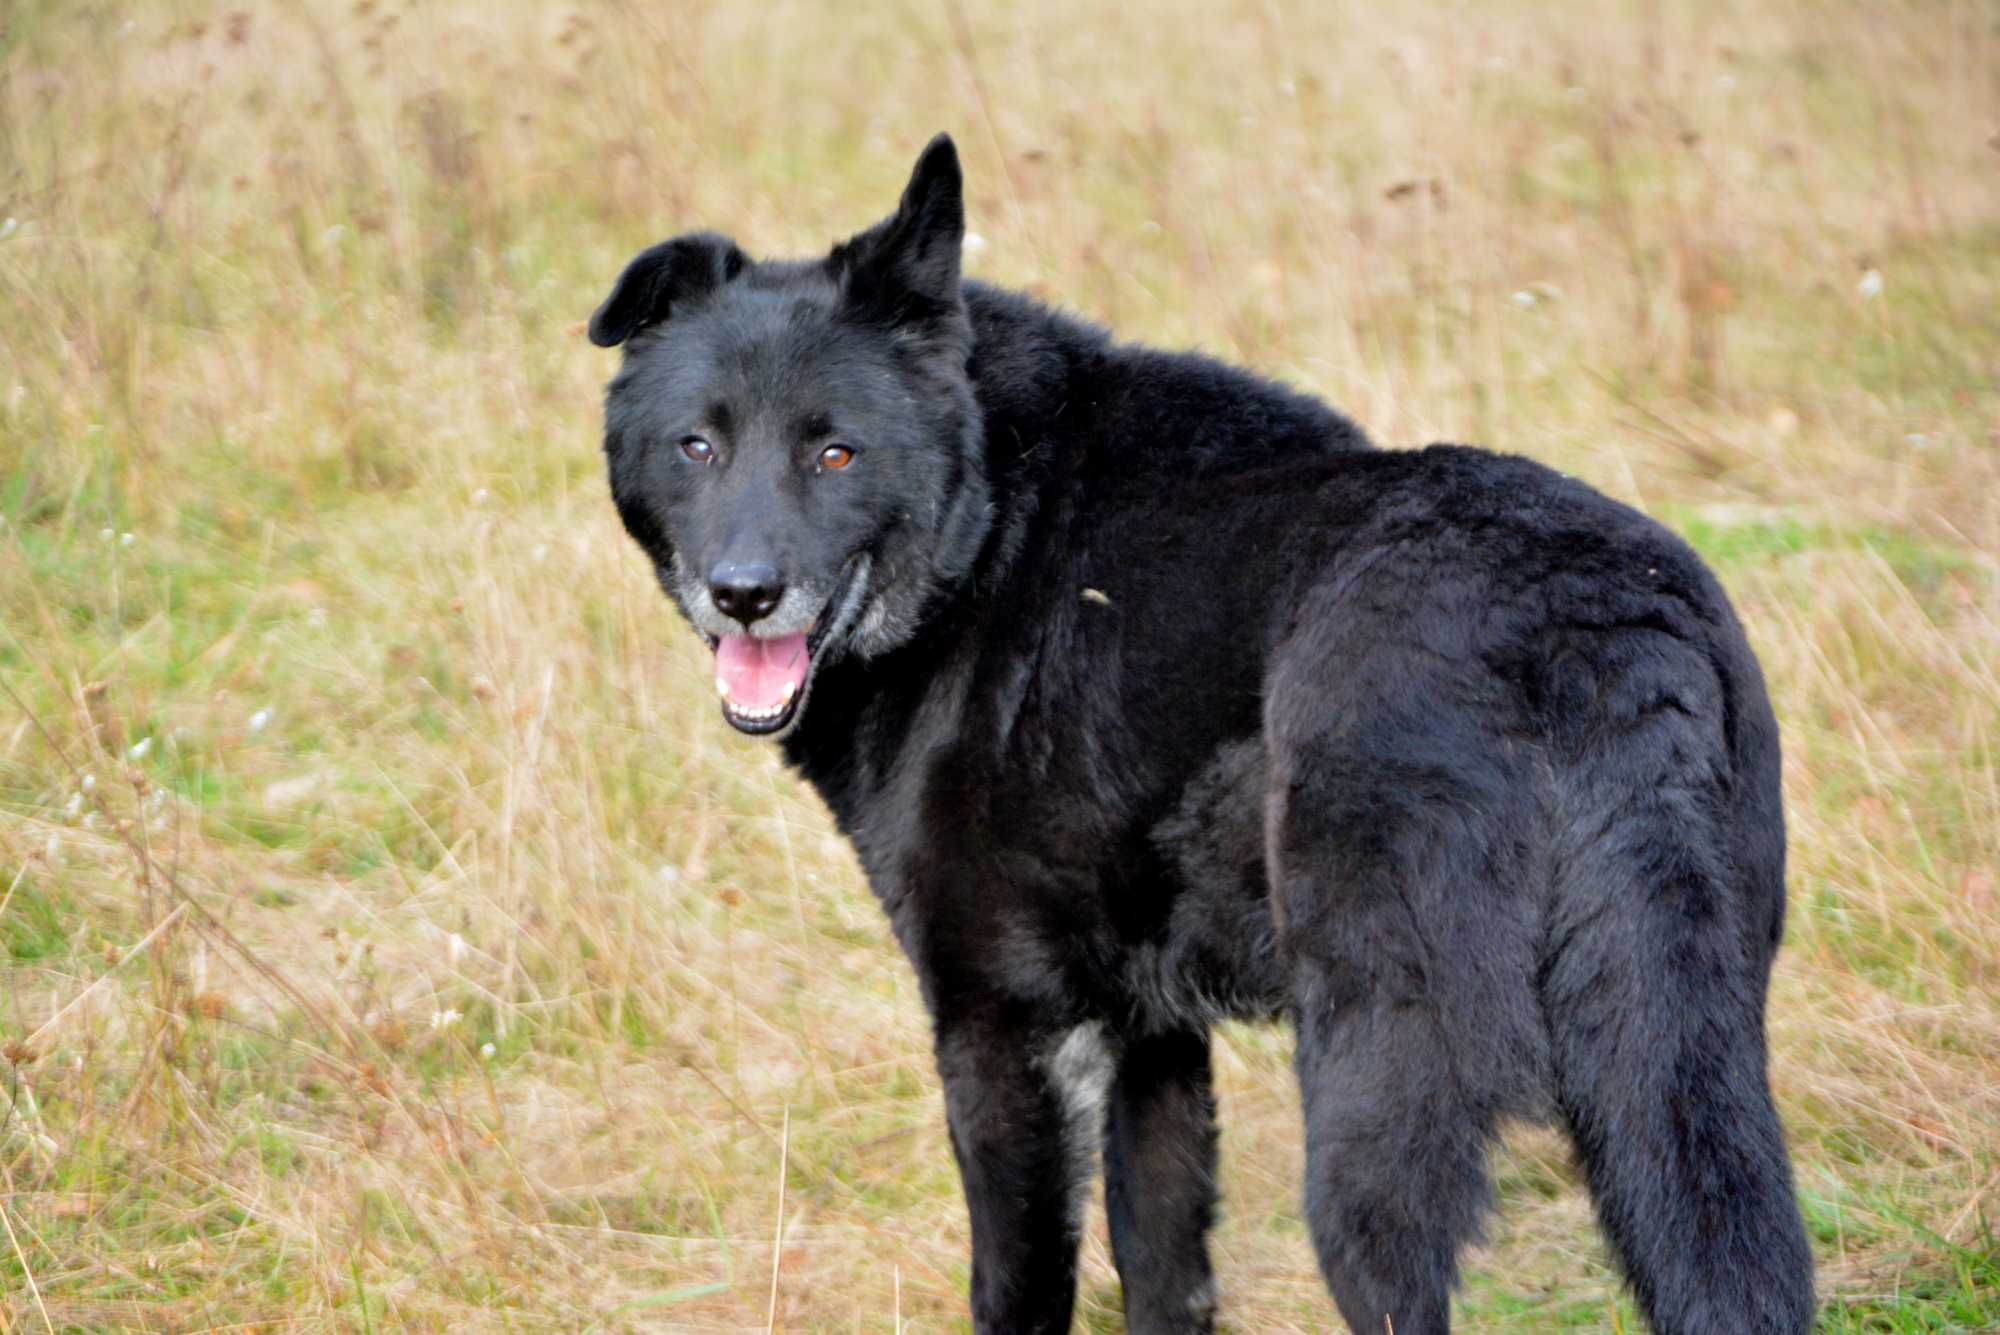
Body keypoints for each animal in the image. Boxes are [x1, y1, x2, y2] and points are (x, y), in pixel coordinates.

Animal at [584, 137, 1824, 1335]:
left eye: (833, 453)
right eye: (698, 447)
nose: (744, 595)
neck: (992, 530)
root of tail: (1581, 621)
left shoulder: (1002, 1032)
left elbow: (1019, 1292)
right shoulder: (1153, 1041)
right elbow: (1165, 1277)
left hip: (1370, 1111)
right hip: (1689, 1092)